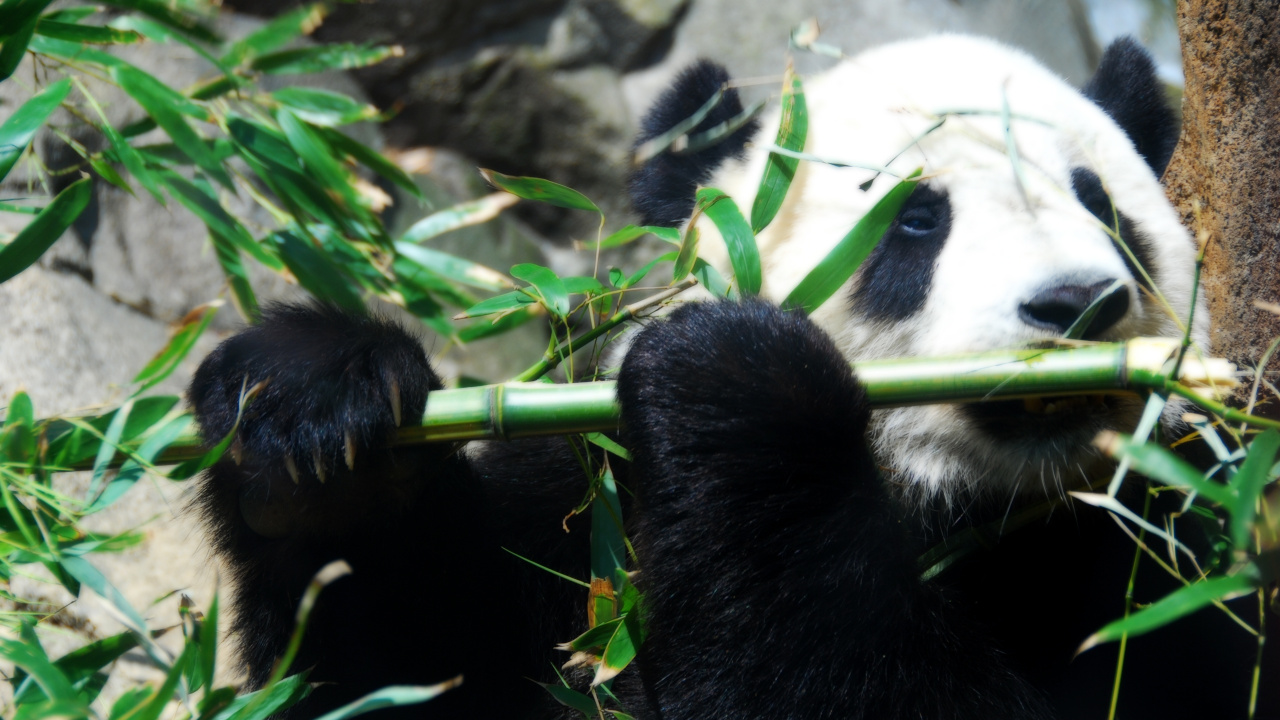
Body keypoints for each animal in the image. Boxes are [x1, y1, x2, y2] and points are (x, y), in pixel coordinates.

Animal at [189, 35, 1273, 720]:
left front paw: (743, 392)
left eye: (1104, 211)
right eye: (916, 222)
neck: (957, 509)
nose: (1076, 305)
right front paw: (314, 427)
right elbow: (408, 672)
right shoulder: (584, 519)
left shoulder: (1179, 555)